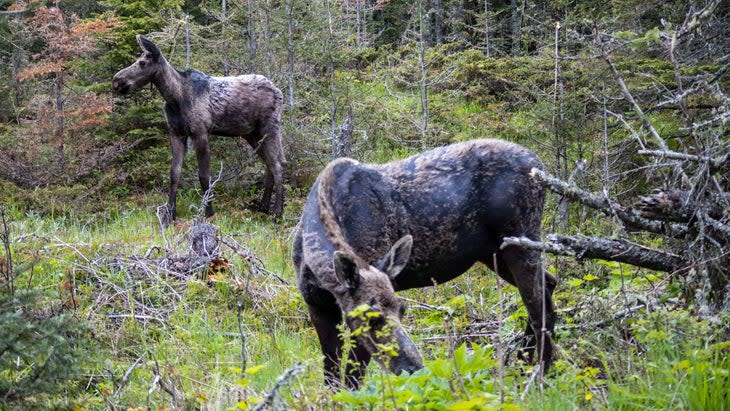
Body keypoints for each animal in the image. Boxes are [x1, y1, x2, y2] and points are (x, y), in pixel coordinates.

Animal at [112, 35, 286, 222]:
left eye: (143, 62)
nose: (116, 81)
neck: (175, 99)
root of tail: (279, 92)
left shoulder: (200, 132)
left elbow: (204, 176)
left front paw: (208, 211)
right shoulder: (176, 133)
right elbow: (174, 173)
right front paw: (169, 214)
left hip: (269, 127)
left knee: (278, 164)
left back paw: (277, 212)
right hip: (252, 134)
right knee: (269, 164)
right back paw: (263, 207)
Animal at [292, 138, 556, 390]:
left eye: (402, 309)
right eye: (373, 317)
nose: (414, 368)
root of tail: (540, 165)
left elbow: (352, 379)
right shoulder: (318, 305)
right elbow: (332, 377)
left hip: (522, 239)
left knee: (539, 307)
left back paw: (539, 378)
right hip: (496, 253)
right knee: (549, 284)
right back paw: (523, 366)